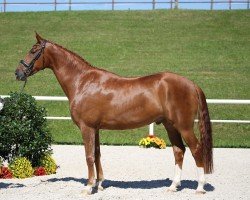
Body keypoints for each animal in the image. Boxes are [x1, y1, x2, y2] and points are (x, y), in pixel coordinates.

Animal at [14, 34, 212, 194]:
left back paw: (200, 187)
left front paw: (88, 187)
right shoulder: (95, 128)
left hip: (184, 127)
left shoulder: (86, 128)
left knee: (196, 149)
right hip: (171, 126)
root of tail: (192, 84)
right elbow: (97, 154)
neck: (82, 82)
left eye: (33, 50)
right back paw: (173, 186)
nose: (18, 73)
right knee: (179, 151)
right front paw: (99, 184)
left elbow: (89, 156)